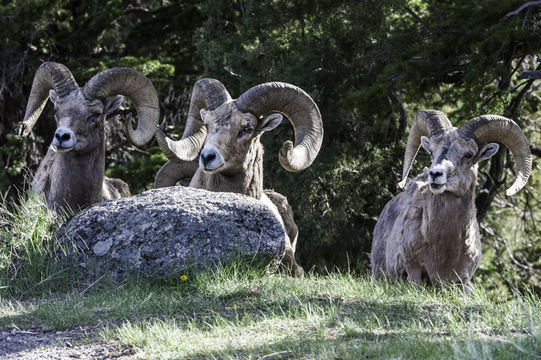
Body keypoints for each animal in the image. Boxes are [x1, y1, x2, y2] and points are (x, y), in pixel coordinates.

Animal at [370, 109, 528, 290]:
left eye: (469, 155)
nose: (435, 174)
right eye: (432, 151)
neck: (444, 251)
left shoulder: (463, 280)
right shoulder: (413, 270)